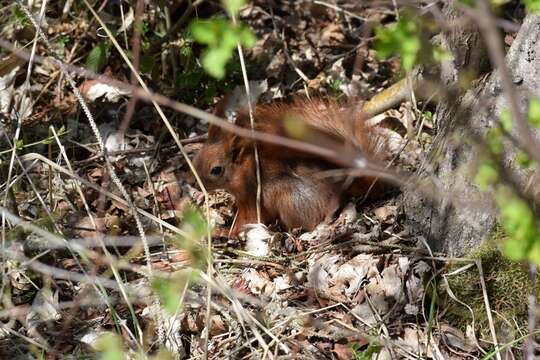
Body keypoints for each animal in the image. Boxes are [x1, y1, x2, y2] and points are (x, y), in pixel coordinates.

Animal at [193, 97, 388, 235]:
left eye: (216, 170)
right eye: (196, 158)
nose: (192, 182)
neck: (242, 168)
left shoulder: (250, 195)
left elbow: (247, 218)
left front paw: (226, 232)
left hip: (286, 197)